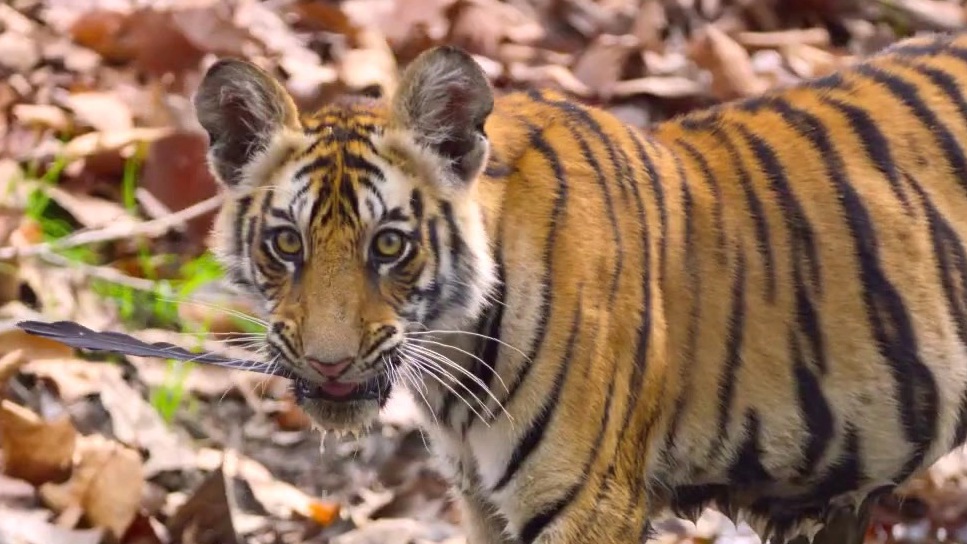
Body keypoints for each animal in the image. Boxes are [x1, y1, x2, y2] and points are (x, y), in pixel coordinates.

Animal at [192, 29, 967, 544]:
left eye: (389, 245)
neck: (455, 366)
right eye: (286, 243)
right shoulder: (482, 501)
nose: (329, 364)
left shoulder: (586, 502)